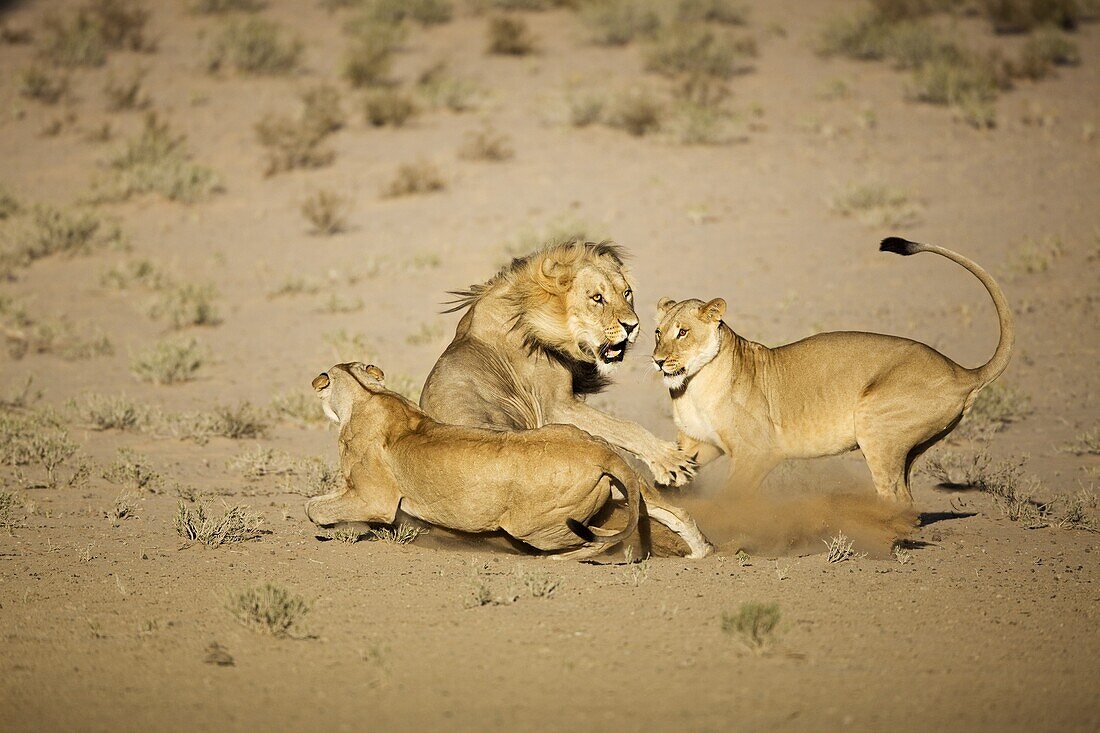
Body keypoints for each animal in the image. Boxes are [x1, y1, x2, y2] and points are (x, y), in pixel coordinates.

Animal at [305, 363, 660, 556]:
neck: (365, 394)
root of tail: (600, 452)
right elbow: (315, 502)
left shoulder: (375, 499)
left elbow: (316, 509)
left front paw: (335, 529)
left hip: (536, 528)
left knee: (590, 541)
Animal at [420, 236, 695, 484]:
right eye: (597, 298)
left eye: (626, 293)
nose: (632, 326)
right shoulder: (555, 407)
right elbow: (624, 427)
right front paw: (671, 461)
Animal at [651, 239, 1012, 501]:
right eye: (658, 332)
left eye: (682, 332)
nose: (657, 360)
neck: (693, 386)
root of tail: (962, 371)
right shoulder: (700, 444)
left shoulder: (758, 451)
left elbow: (731, 497)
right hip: (910, 447)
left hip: (875, 423)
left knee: (897, 498)